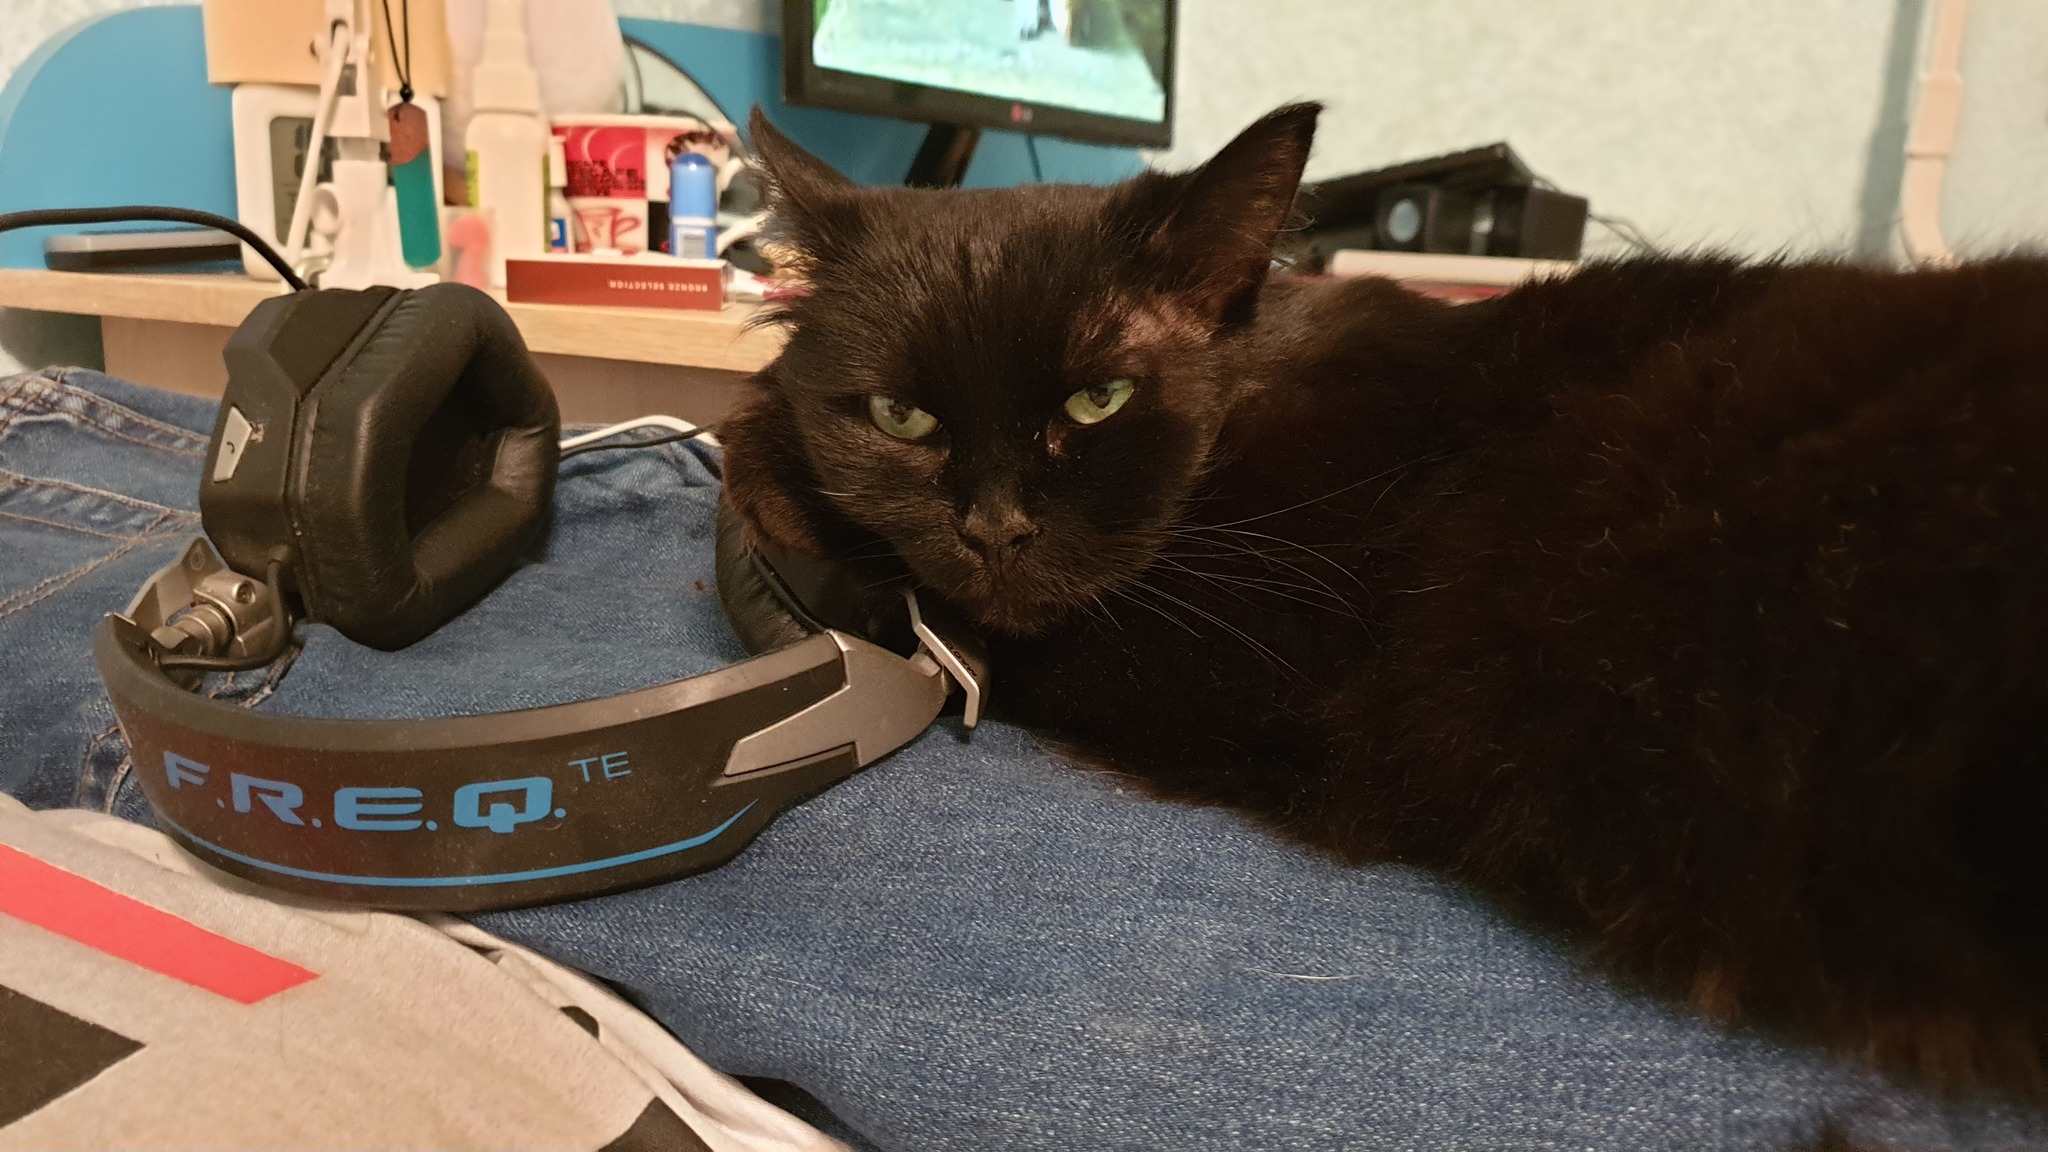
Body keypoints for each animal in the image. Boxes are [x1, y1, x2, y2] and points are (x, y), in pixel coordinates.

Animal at [720, 103, 2048, 1100]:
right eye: (901, 417)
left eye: (1097, 402)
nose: (993, 528)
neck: (1261, 396)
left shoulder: (1251, 657)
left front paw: (758, 457)